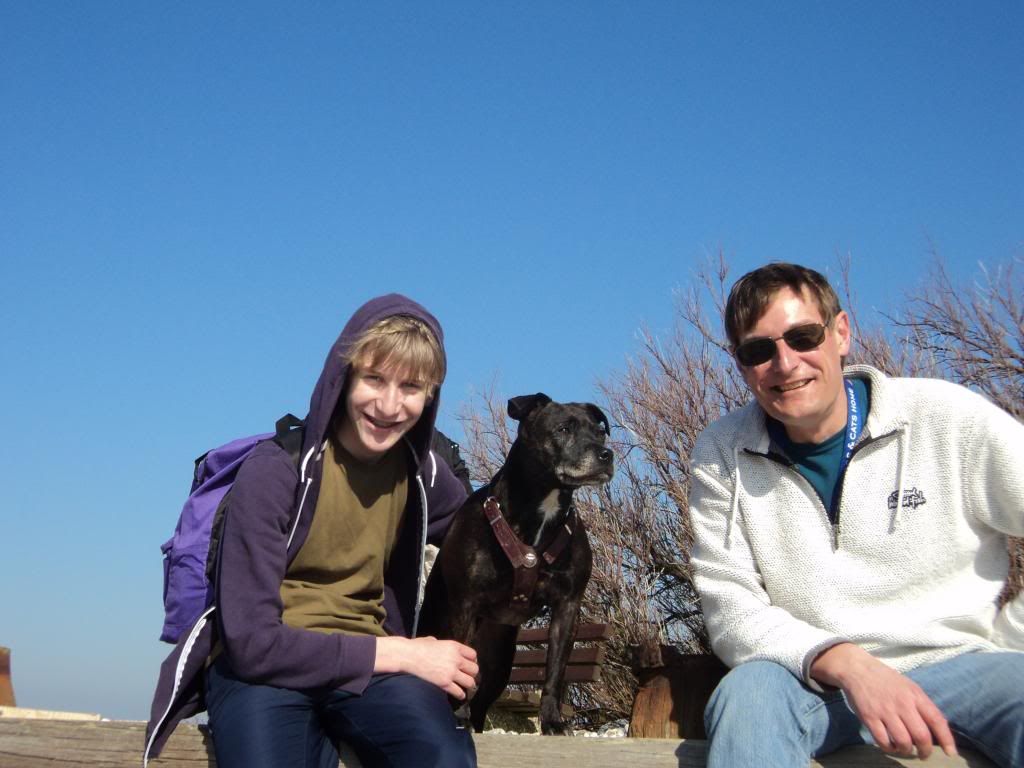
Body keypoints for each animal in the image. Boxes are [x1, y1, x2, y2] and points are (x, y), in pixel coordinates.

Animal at [419, 393, 610, 737]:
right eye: (563, 429)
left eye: (600, 432)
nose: (606, 454)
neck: (544, 506)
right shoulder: (465, 604)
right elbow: (459, 670)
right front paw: (455, 718)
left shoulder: (567, 606)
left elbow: (555, 672)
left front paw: (552, 721)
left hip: (499, 663)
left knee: (482, 700)